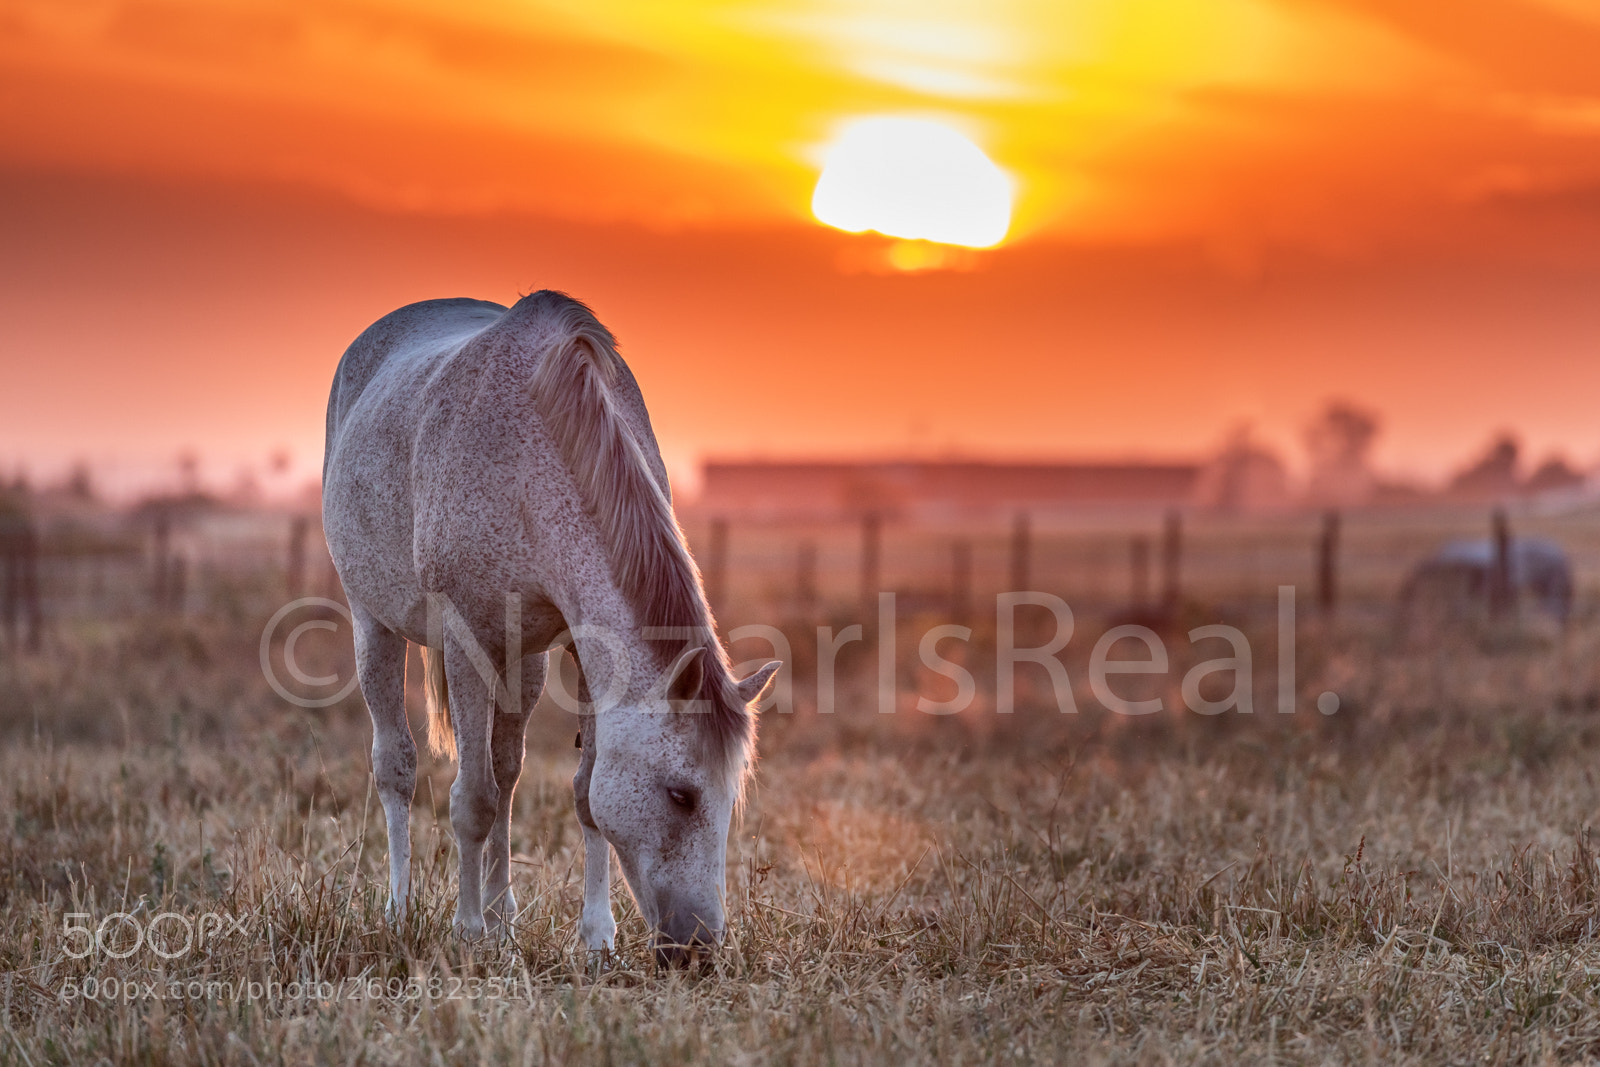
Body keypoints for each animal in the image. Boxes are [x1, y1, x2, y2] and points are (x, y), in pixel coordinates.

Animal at [322, 290, 779, 961]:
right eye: (680, 794)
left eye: (731, 797)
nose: (699, 948)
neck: (534, 454)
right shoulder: (464, 640)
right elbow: (472, 799)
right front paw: (467, 932)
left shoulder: (585, 651)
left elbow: (584, 796)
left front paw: (596, 937)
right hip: (372, 623)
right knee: (398, 767)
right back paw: (403, 911)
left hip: (524, 661)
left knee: (508, 768)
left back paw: (503, 913)